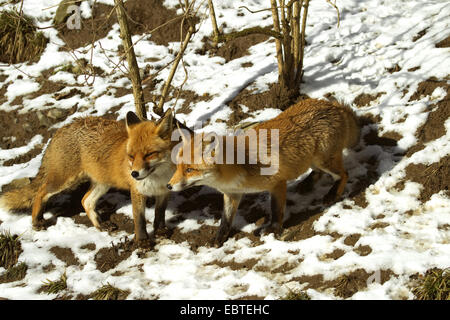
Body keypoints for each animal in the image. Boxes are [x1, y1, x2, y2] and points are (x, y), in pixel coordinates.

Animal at [0, 110, 179, 245]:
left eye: (149, 154)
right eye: (131, 156)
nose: (134, 174)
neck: (158, 176)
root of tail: (61, 129)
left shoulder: (164, 191)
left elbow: (160, 213)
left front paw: (161, 231)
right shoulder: (137, 191)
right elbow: (139, 219)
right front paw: (142, 242)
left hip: (102, 183)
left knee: (85, 201)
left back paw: (100, 225)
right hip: (65, 181)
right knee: (41, 192)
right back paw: (37, 221)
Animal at [167, 99, 360, 246]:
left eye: (190, 170)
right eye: (178, 168)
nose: (168, 186)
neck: (238, 168)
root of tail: (334, 105)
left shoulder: (277, 183)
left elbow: (276, 210)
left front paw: (273, 229)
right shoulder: (232, 194)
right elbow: (225, 220)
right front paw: (218, 238)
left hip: (323, 160)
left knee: (344, 174)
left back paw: (333, 193)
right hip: (311, 159)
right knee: (318, 172)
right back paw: (306, 184)